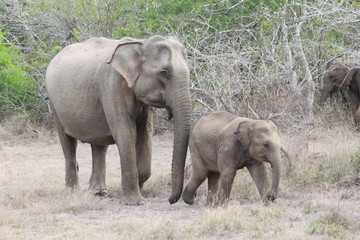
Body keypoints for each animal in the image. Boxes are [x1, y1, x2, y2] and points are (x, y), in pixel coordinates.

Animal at [46, 34, 193, 205]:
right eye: (164, 72)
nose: (170, 200)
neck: (140, 43)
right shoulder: (112, 84)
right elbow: (126, 132)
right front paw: (135, 202)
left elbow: (145, 133)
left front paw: (140, 187)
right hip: (54, 103)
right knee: (67, 141)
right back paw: (72, 192)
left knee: (99, 144)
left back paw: (98, 192)